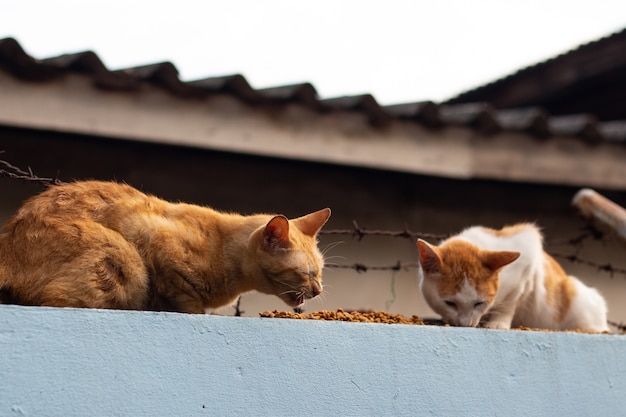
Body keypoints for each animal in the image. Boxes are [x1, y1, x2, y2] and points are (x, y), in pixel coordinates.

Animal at [0, 180, 332, 314]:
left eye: (320, 273)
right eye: (306, 273)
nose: (318, 290)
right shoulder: (154, 238)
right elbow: (187, 300)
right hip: (124, 260)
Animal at [416, 223, 608, 330]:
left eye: (479, 303)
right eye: (449, 303)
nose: (465, 324)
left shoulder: (528, 256)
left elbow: (511, 301)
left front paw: (498, 322)